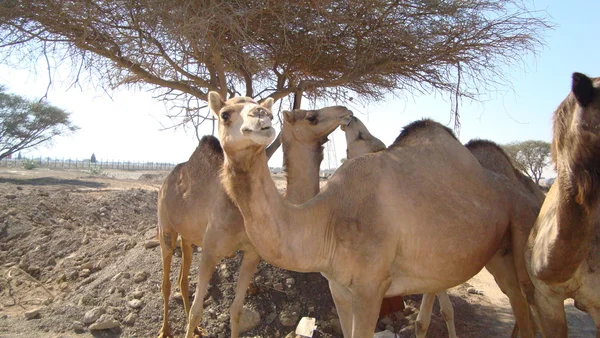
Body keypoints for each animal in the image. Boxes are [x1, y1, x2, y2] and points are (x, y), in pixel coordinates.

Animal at [209, 90, 540, 338]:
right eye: (225, 114)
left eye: (260, 108)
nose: (261, 118)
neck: (325, 218)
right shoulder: (339, 287)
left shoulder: (372, 288)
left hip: (520, 233)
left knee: (525, 301)